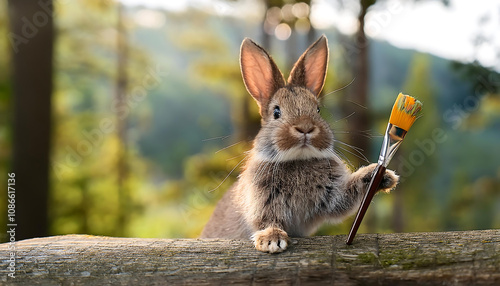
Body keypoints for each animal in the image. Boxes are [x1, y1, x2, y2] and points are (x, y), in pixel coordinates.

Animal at [199, 35, 398, 252]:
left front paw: (382, 176)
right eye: (276, 112)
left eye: (318, 110)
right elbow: (266, 221)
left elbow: (346, 199)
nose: (305, 128)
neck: (298, 159)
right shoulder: (262, 201)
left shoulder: (333, 196)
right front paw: (272, 240)